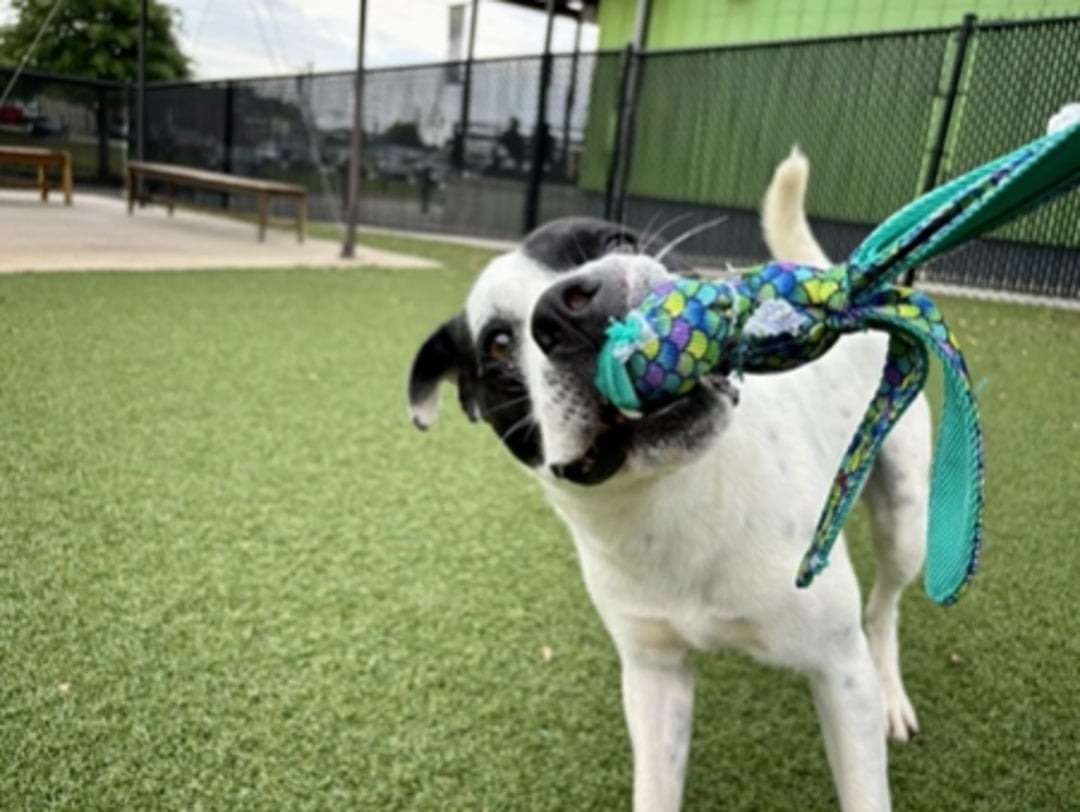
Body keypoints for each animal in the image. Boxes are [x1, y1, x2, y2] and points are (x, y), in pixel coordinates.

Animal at [408, 151, 933, 807]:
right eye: (499, 344)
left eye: (616, 242)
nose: (574, 305)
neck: (672, 499)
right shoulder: (654, 675)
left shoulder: (840, 670)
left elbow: (865, 789)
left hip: (907, 519)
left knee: (884, 608)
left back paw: (892, 693)